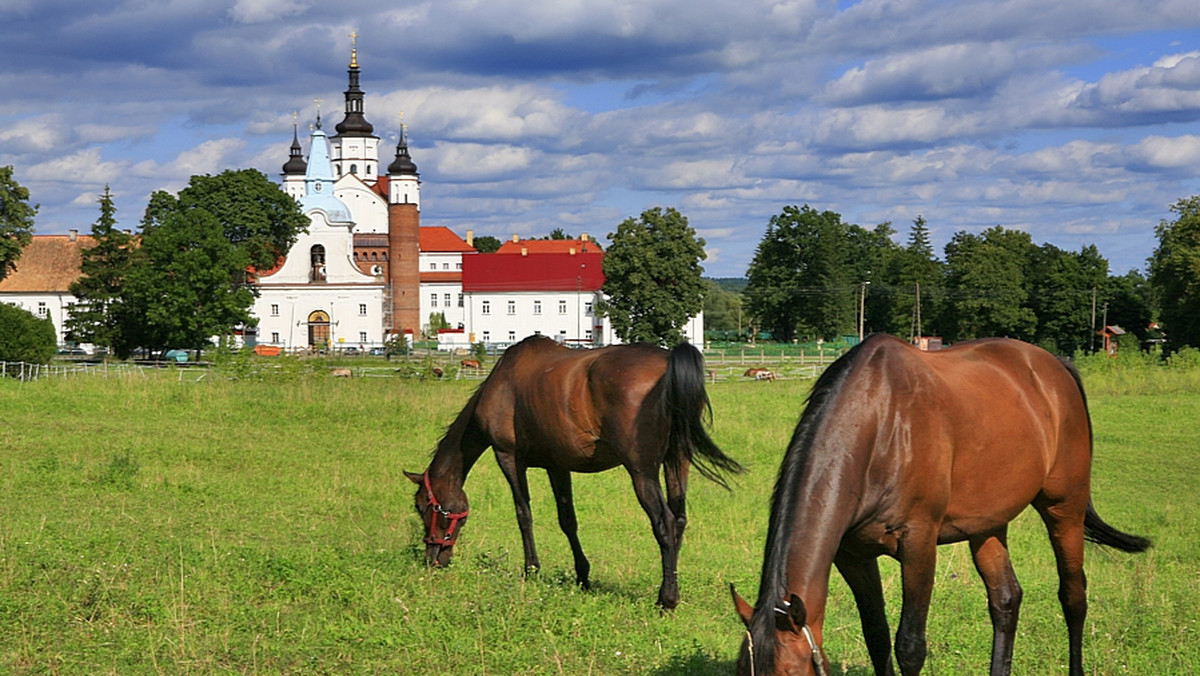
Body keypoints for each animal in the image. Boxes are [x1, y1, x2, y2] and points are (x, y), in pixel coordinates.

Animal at [405, 336, 739, 609]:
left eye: (423, 507)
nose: (432, 559)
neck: (501, 382)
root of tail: (668, 363)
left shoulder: (508, 457)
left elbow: (523, 514)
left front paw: (531, 569)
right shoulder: (558, 465)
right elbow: (568, 521)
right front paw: (582, 576)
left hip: (642, 472)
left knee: (665, 524)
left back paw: (666, 599)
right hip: (676, 462)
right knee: (679, 520)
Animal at [724, 336, 1147, 676]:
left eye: (791, 674)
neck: (881, 426)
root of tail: (1055, 368)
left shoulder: (919, 545)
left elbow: (909, 646)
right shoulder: (854, 556)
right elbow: (877, 637)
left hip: (1065, 507)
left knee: (1073, 597)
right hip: (988, 525)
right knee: (1006, 600)